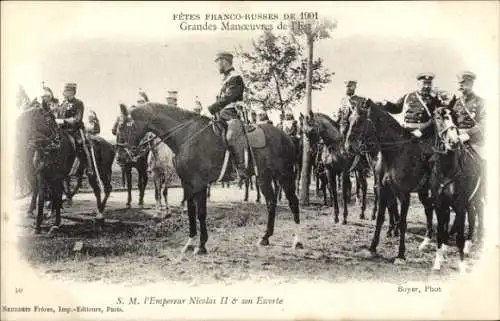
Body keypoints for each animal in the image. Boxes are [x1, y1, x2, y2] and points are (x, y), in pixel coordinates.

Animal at [116, 102, 304, 252]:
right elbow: (191, 211)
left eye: (124, 126)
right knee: (271, 203)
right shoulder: (187, 183)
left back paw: (298, 240)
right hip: (264, 177)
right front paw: (190, 242)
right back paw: (265, 237)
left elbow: (201, 213)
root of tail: (286, 137)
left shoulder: (199, 183)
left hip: (285, 175)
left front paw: (201, 246)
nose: (120, 158)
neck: (186, 136)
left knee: (293, 202)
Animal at [346, 99, 436, 262]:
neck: (396, 153)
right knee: (429, 208)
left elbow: (402, 222)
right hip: (423, 191)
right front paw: (372, 248)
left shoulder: (404, 194)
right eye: (349, 120)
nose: (348, 147)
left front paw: (400, 254)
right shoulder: (383, 189)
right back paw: (427, 240)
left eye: (359, 120)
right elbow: (381, 217)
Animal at [430, 106, 484, 272]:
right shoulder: (440, 205)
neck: (446, 170)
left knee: (478, 215)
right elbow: (441, 233)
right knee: (472, 215)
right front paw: (438, 261)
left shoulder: (460, 204)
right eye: (437, 117)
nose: (453, 141)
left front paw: (461, 266)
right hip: (469, 201)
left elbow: (459, 236)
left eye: (455, 117)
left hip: (477, 197)